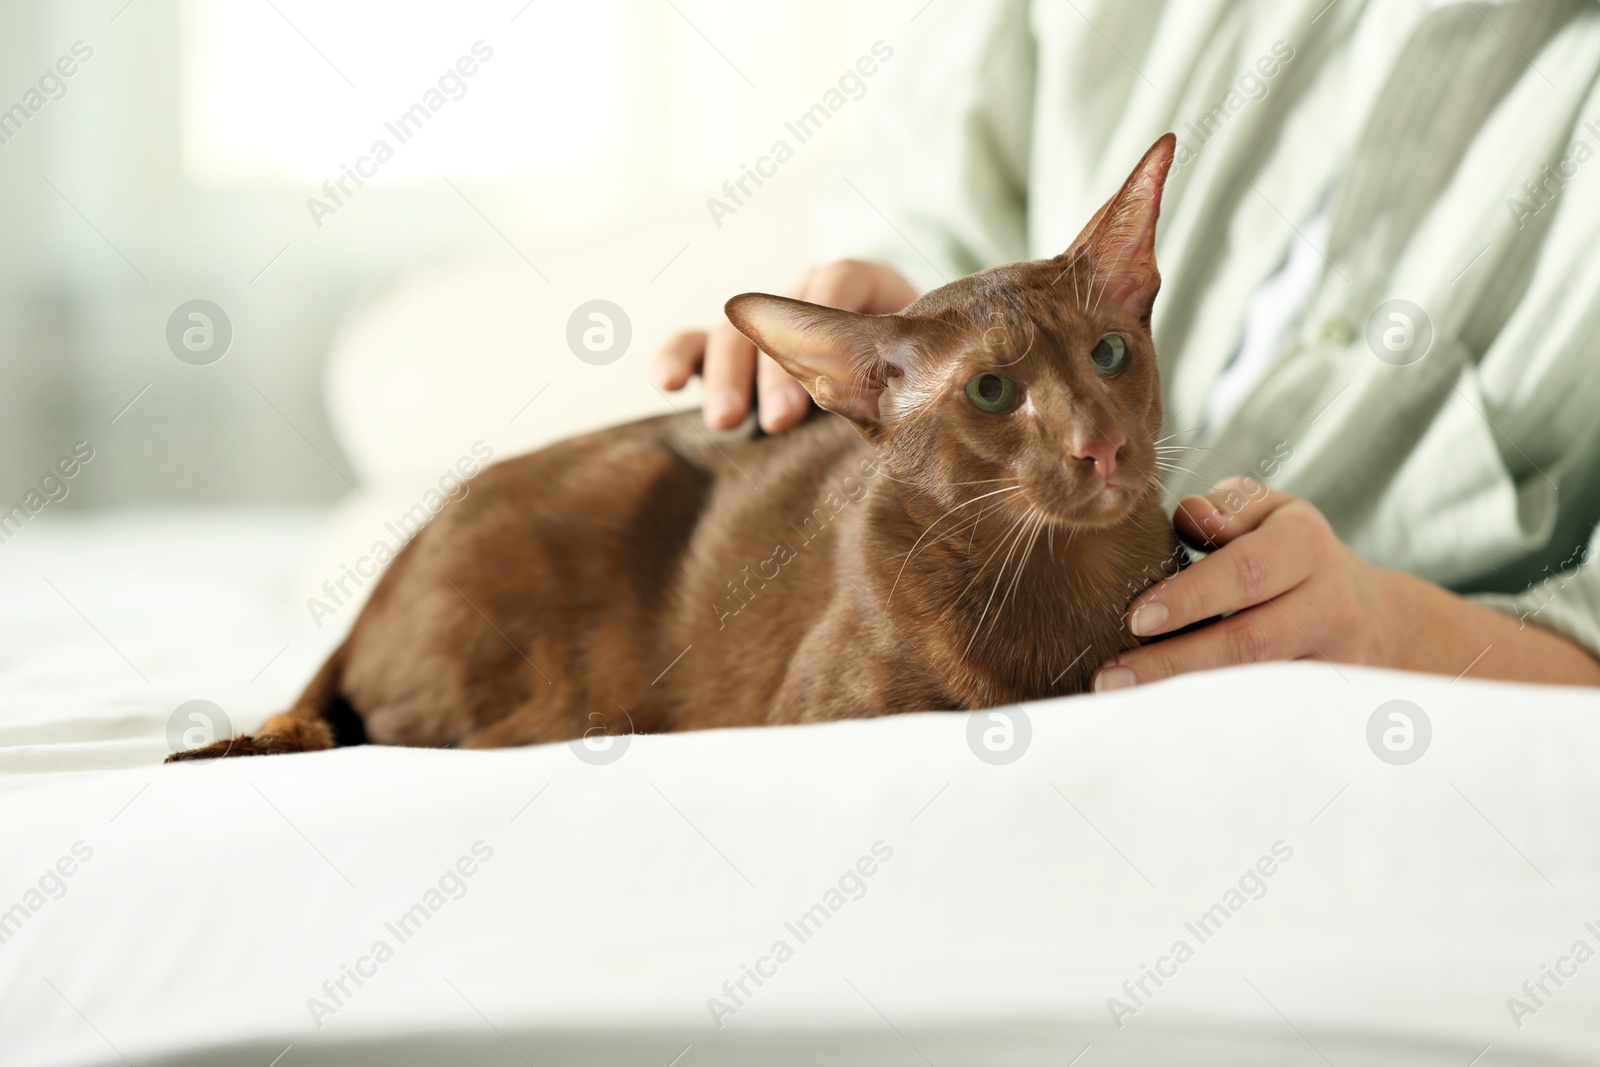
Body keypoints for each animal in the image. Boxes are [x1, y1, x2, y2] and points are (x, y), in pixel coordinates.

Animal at [165, 133, 1190, 764]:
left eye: (1108, 353)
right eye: (991, 391)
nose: (1100, 446)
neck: (1062, 583)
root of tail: (377, 585)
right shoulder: (832, 712)